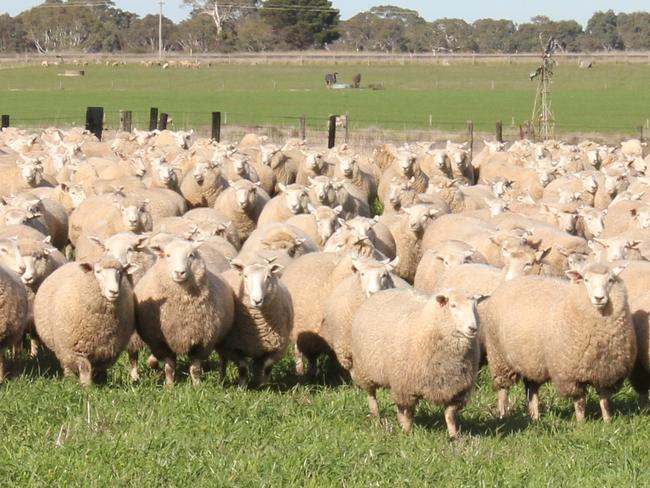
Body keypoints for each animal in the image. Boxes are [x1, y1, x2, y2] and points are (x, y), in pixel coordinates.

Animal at [33, 255, 135, 386]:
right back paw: (70, 381)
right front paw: (86, 386)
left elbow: (100, 369)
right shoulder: (77, 350)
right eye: (98, 272)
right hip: (63, 347)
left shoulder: (108, 350)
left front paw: (102, 383)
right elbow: (85, 368)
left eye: (120, 272)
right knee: (67, 365)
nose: (114, 292)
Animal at [134, 238, 233, 386]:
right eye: (168, 255)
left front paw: (197, 385)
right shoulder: (161, 341)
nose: (180, 272)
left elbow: (195, 369)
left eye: (191, 255)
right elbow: (169, 367)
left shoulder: (202, 341)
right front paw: (169, 386)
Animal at [218, 258, 292, 386]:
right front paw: (242, 386)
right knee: (223, 361)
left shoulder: (278, 348)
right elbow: (243, 367)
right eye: (245, 276)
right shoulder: (232, 347)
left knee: (257, 365)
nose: (257, 301)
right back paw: (222, 380)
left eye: (268, 276)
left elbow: (267, 367)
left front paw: (263, 385)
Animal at [350, 288, 480, 436]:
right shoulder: (406, 387)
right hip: (365, 369)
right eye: (453, 306)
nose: (473, 328)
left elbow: (450, 415)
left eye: (475, 307)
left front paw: (454, 436)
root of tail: (383, 291)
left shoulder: (458, 390)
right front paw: (407, 434)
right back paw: (376, 418)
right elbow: (408, 414)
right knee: (372, 395)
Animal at [480, 264, 632, 424]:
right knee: (503, 389)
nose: (599, 298)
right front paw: (581, 423)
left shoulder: (607, 373)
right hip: (498, 356)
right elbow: (580, 401)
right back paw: (504, 415)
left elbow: (605, 401)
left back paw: (535, 417)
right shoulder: (569, 375)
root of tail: (509, 283)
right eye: (586, 280)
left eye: (611, 280)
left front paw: (608, 422)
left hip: (532, 360)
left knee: (531, 389)